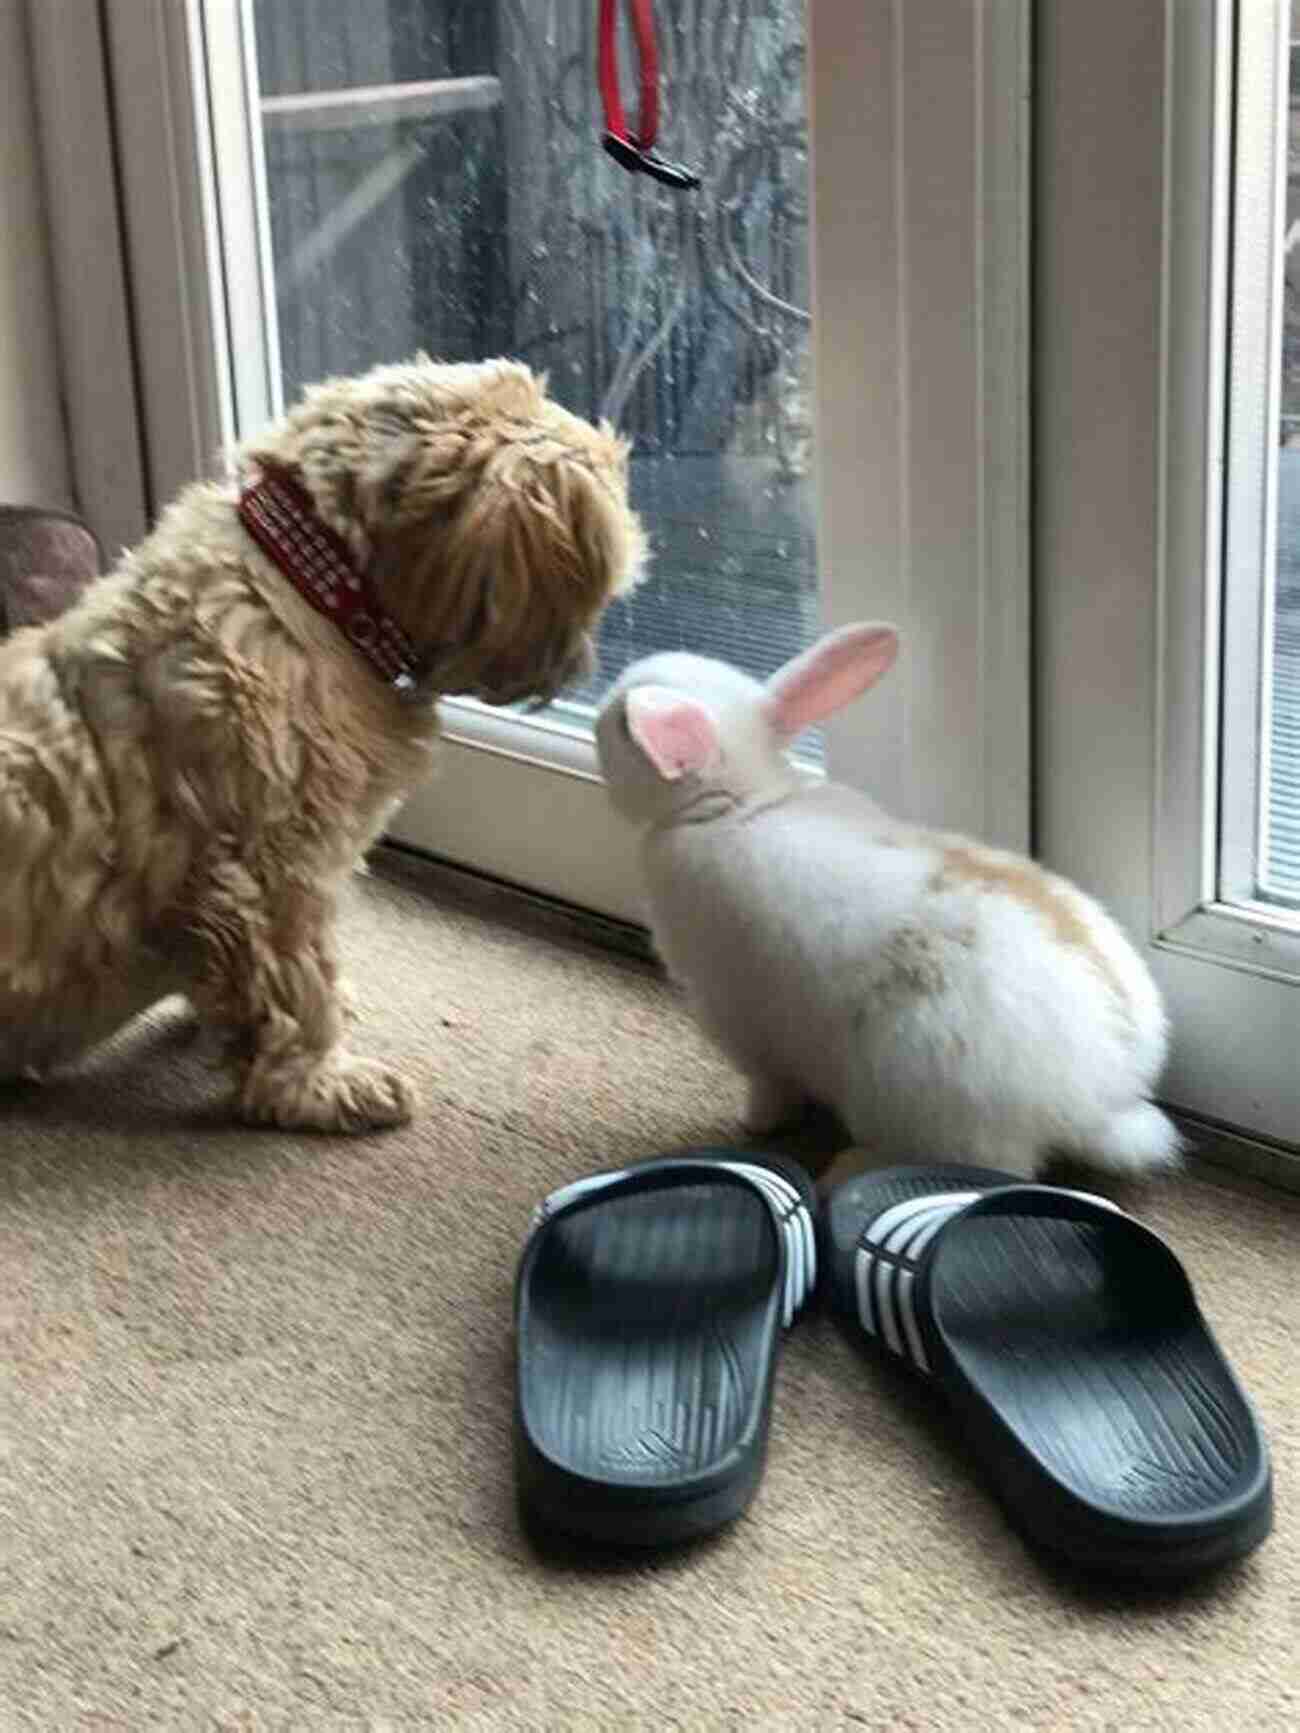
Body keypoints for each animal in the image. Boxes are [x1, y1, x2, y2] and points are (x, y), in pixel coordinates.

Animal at [596, 623, 1185, 1178]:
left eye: (622, 726)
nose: (607, 704)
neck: (744, 799)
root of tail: (1103, 1103)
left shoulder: (737, 1020)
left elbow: (772, 1087)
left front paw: (754, 1123)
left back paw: (852, 1165)